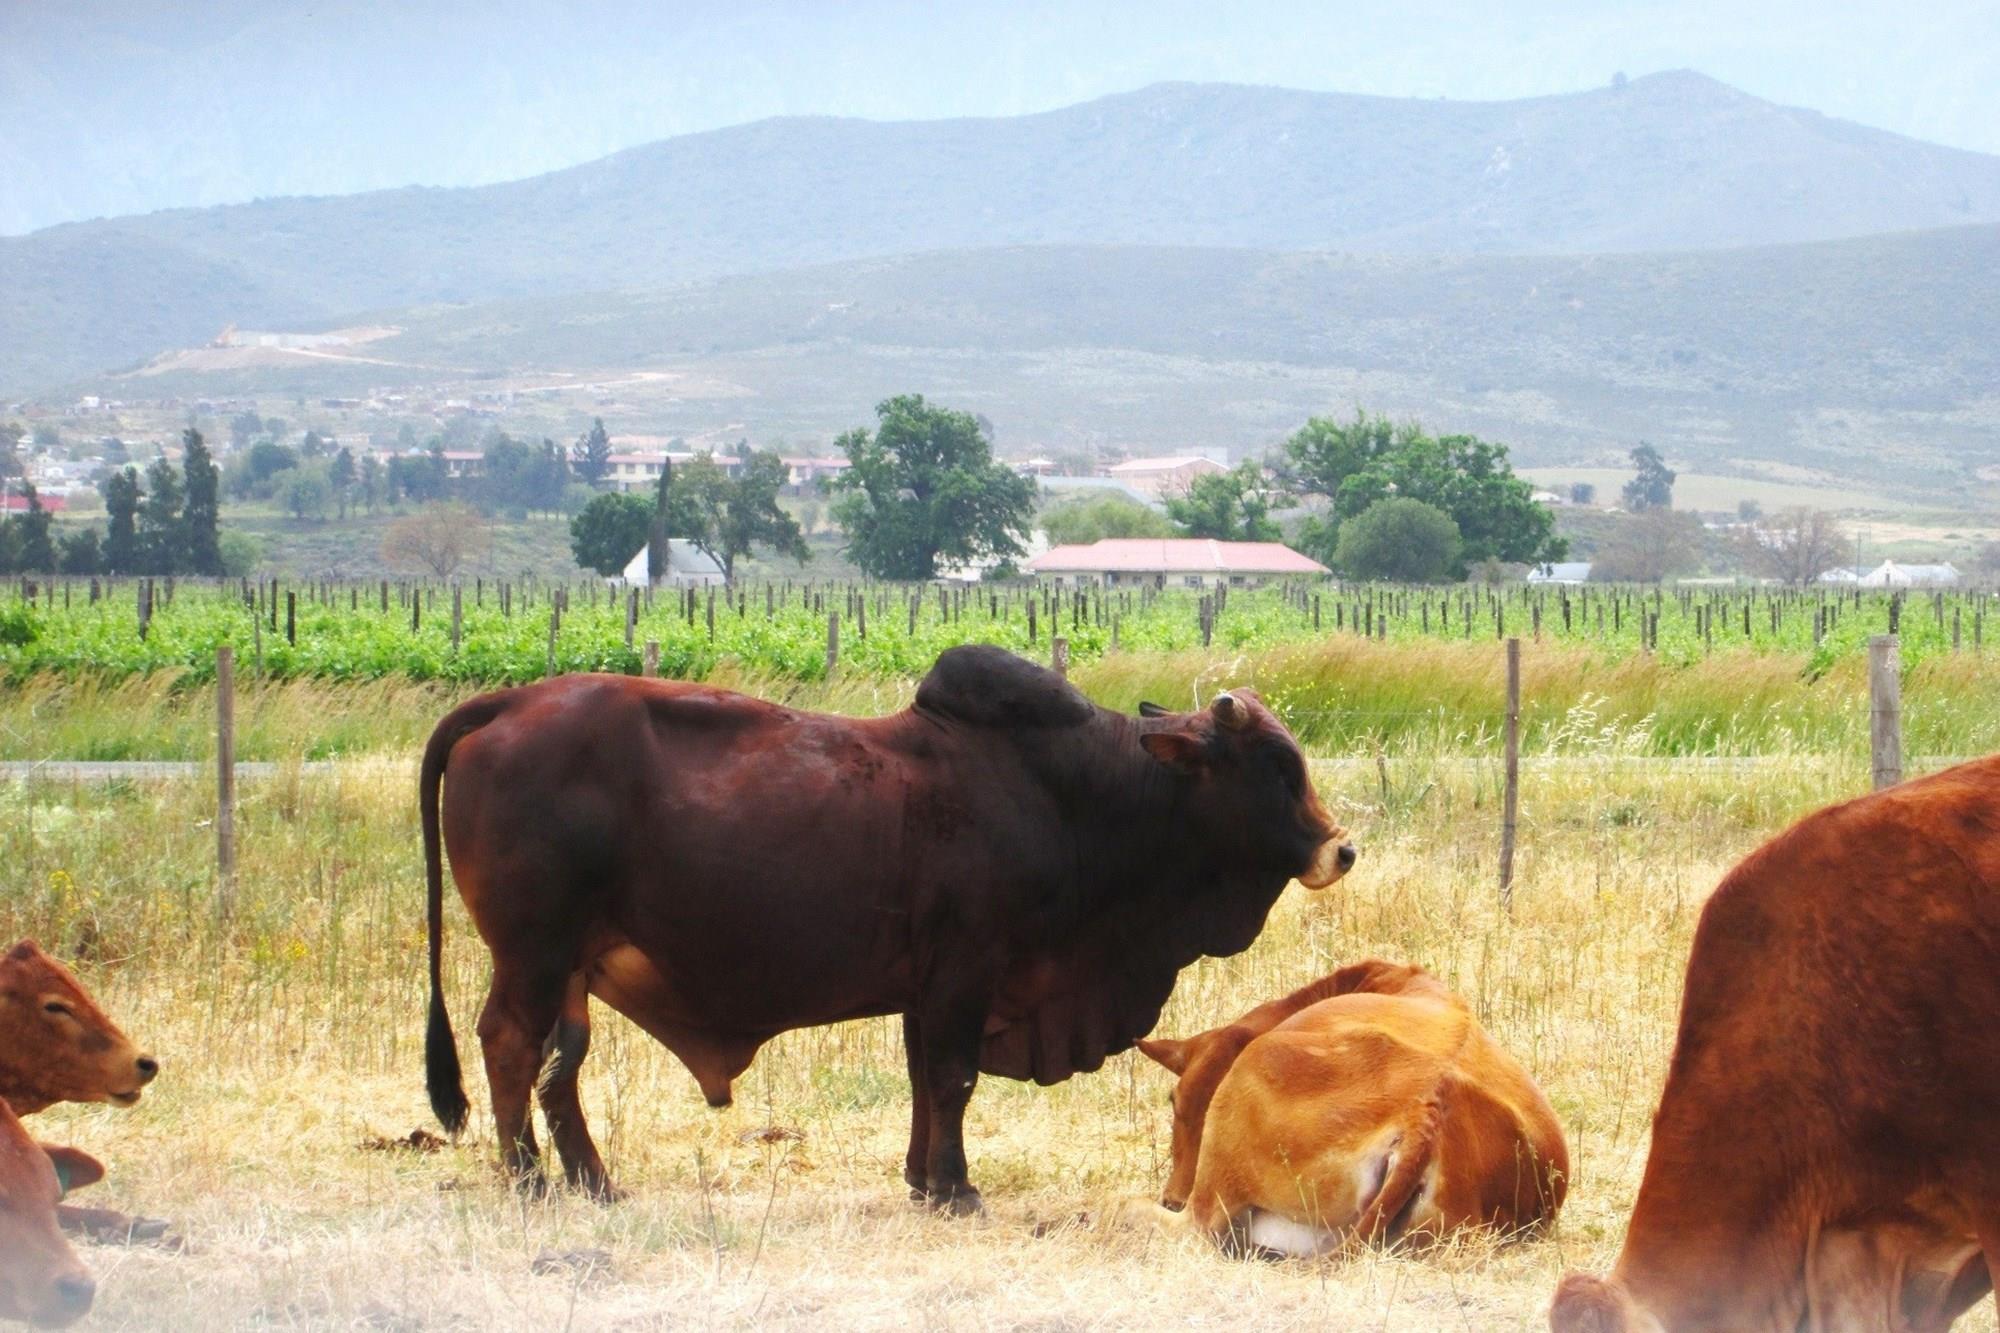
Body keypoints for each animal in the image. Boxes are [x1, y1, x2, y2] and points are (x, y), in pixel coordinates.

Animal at [420, 646, 1356, 1209]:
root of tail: (506, 702)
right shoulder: (968, 972)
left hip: (571, 969)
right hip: (533, 953)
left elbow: (921, 1082)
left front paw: (921, 1179)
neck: (1074, 794)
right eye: (1276, 765)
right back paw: (528, 1177)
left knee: (559, 1066)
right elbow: (952, 1079)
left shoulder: (925, 985)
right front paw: (956, 1187)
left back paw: (593, 1180)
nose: (1341, 847)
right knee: (508, 1044)